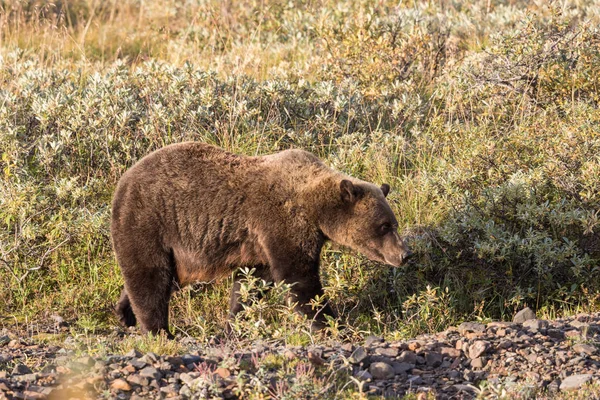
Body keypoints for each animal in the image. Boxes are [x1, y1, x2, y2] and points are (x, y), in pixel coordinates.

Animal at [111, 142, 412, 336]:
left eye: (393, 223)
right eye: (384, 226)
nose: (405, 254)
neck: (315, 208)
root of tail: (123, 180)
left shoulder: (260, 245)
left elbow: (252, 283)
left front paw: (234, 323)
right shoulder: (282, 222)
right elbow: (298, 279)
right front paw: (331, 322)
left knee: (158, 278)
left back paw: (125, 314)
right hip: (151, 222)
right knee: (151, 276)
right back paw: (159, 331)